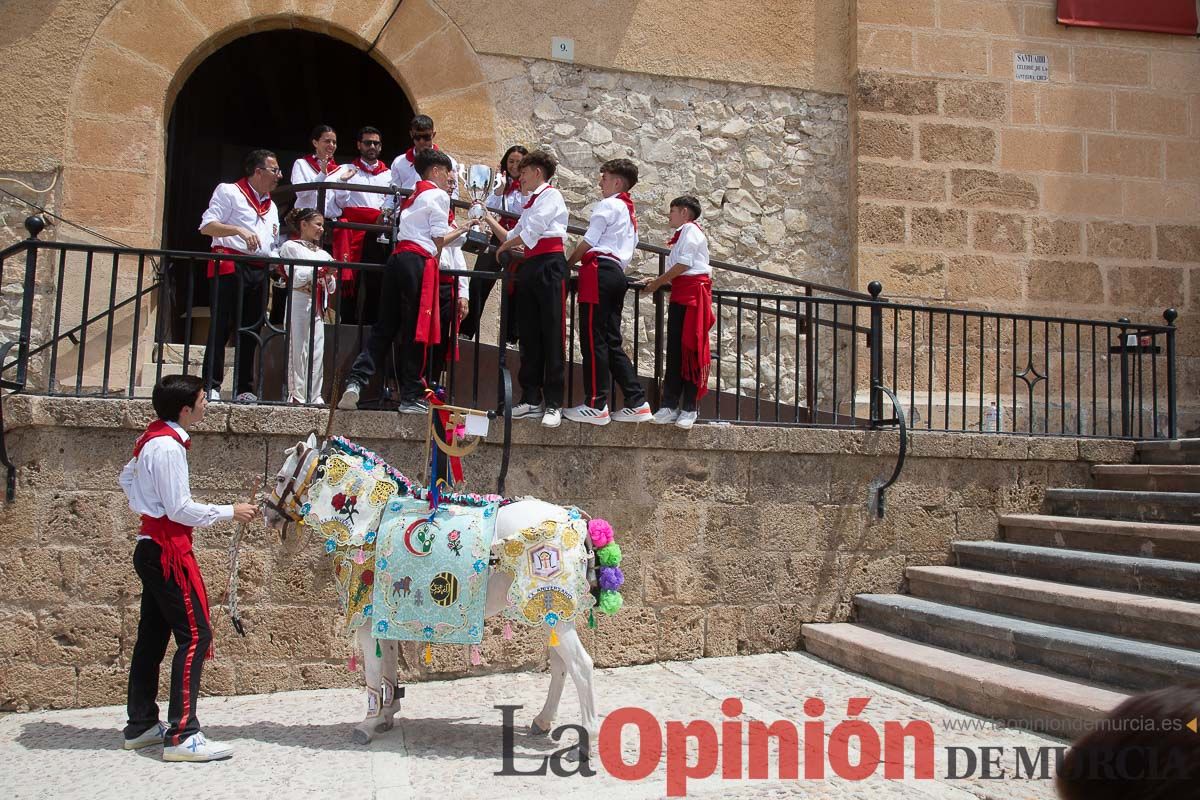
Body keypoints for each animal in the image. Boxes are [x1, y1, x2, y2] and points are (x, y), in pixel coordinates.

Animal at [258, 434, 624, 753]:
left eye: (280, 477)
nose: (268, 514)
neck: (371, 521)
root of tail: (574, 519)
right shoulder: (382, 618)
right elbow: (388, 666)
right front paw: (386, 715)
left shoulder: (364, 619)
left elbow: (373, 672)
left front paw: (367, 724)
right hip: (551, 614)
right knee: (562, 666)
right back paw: (543, 720)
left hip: (552, 609)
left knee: (581, 666)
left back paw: (587, 738)